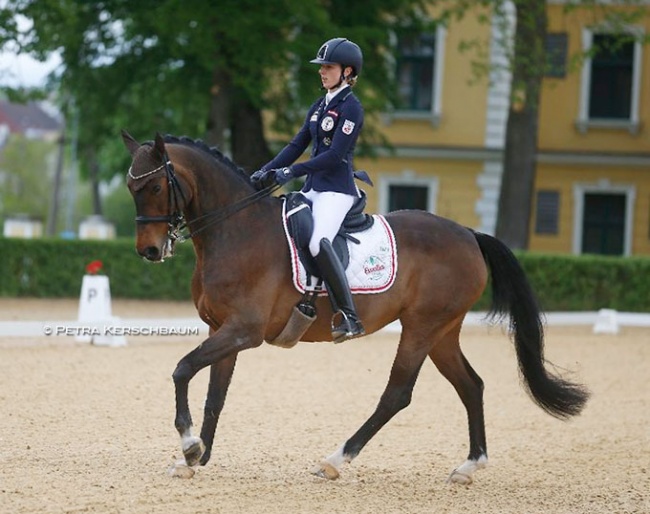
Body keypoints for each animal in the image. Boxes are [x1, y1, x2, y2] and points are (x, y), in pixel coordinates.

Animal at [121, 130, 588, 482]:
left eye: (155, 186)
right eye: (131, 188)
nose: (148, 251)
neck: (236, 229)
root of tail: (469, 234)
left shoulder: (243, 331)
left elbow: (182, 369)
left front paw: (188, 444)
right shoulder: (223, 329)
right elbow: (214, 395)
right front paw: (196, 457)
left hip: (420, 328)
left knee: (397, 394)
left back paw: (335, 460)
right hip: (442, 331)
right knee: (471, 385)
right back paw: (469, 466)